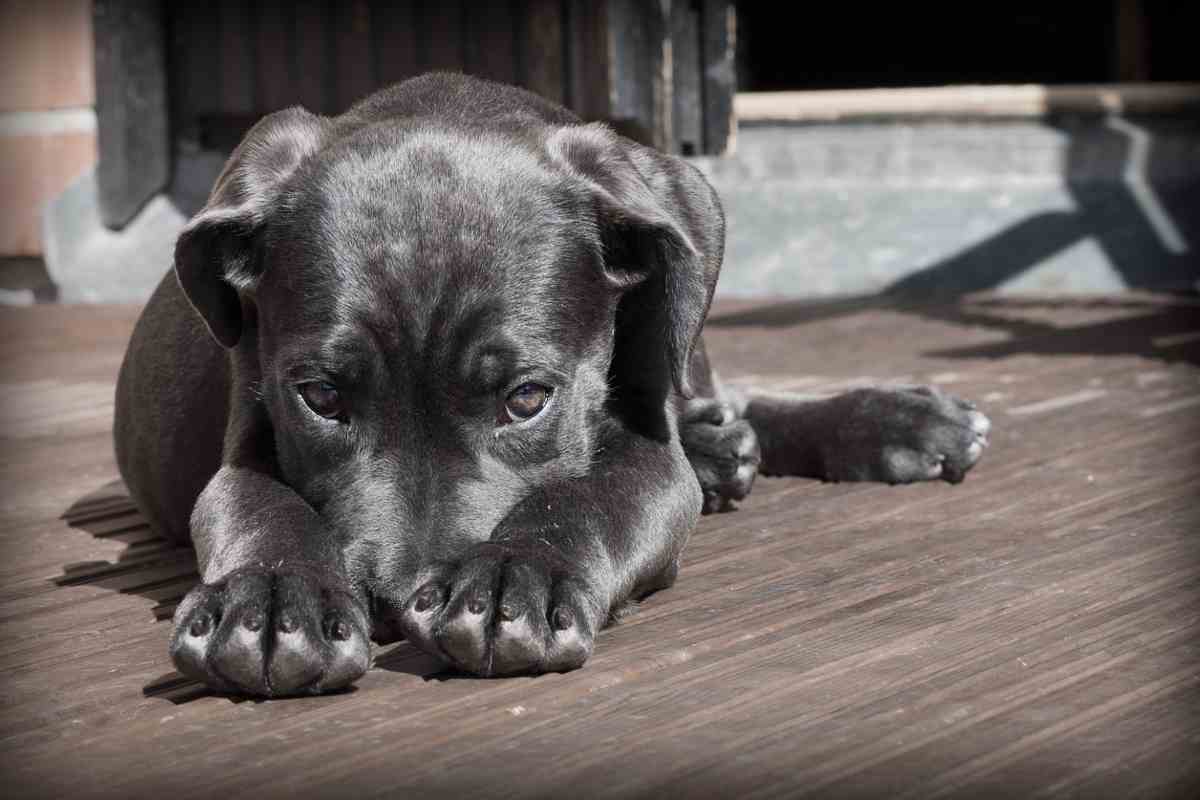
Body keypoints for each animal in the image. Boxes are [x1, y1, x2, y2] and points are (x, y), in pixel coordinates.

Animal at [117, 76, 988, 700]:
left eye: (527, 399)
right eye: (322, 399)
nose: (397, 604)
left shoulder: (646, 452)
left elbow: (588, 496)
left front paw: (516, 575)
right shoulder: (247, 434)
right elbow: (258, 506)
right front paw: (269, 600)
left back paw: (894, 421)